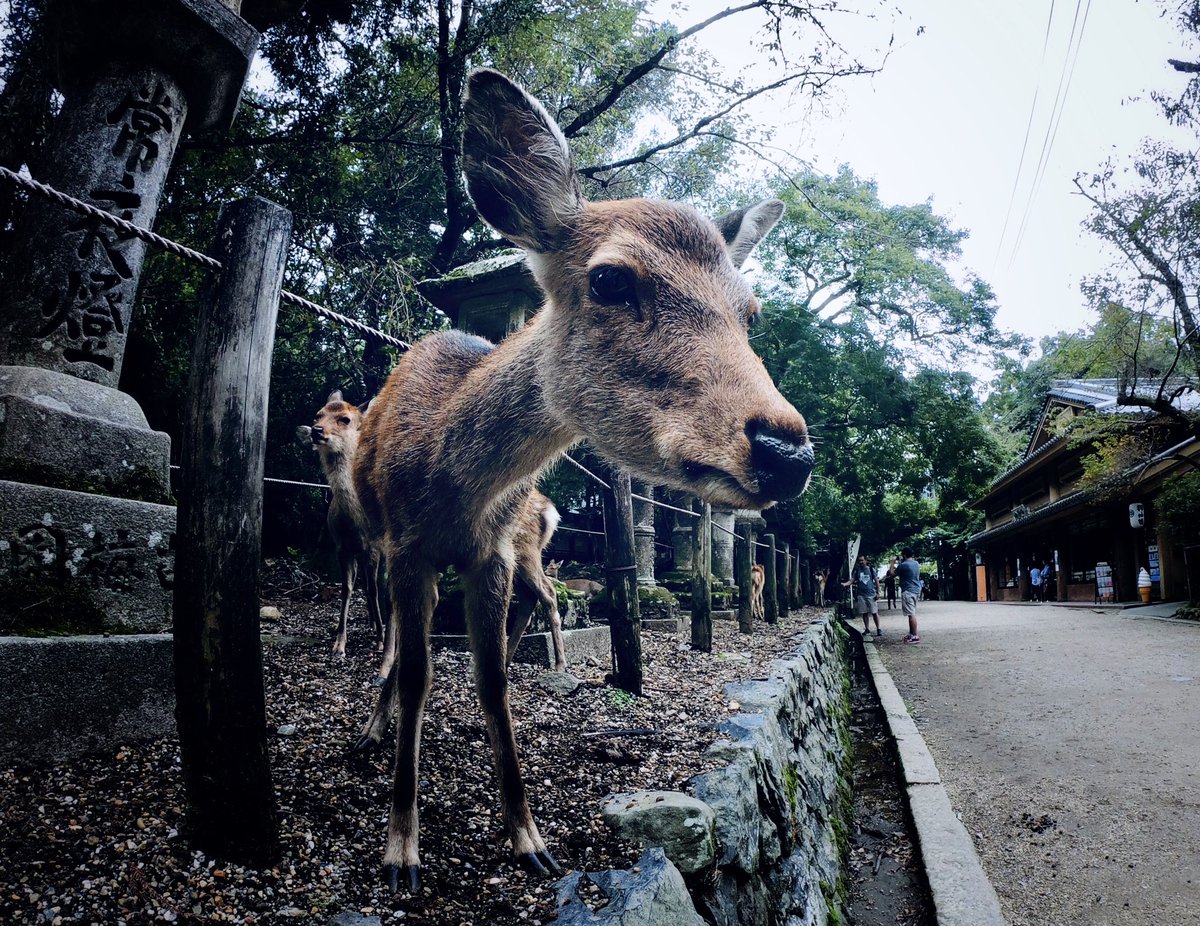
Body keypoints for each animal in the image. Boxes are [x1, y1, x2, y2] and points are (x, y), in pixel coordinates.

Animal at [350, 69, 814, 893]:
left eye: (751, 311)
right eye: (609, 279)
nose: (786, 450)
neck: (450, 481)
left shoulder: (493, 554)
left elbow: (494, 684)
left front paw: (529, 839)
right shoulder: (405, 547)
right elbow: (420, 675)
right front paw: (401, 849)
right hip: (374, 543)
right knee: (393, 643)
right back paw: (369, 733)